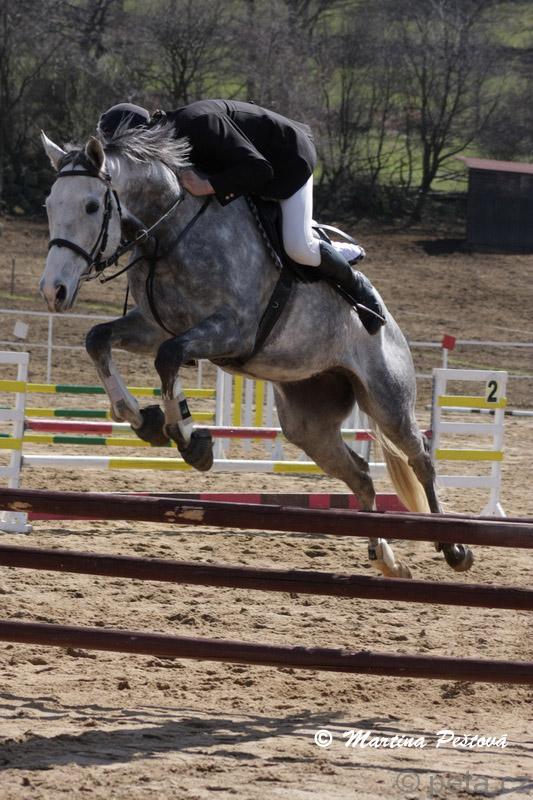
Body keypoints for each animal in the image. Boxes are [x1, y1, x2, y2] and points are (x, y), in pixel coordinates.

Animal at [39, 124, 474, 579]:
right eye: (49, 205)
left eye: (91, 206)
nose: (54, 292)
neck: (170, 231)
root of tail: (391, 323)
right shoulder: (154, 326)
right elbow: (99, 340)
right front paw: (143, 419)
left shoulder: (232, 331)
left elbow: (169, 358)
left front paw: (190, 440)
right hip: (308, 423)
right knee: (359, 475)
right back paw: (385, 557)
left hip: (387, 400)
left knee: (420, 459)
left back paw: (453, 547)